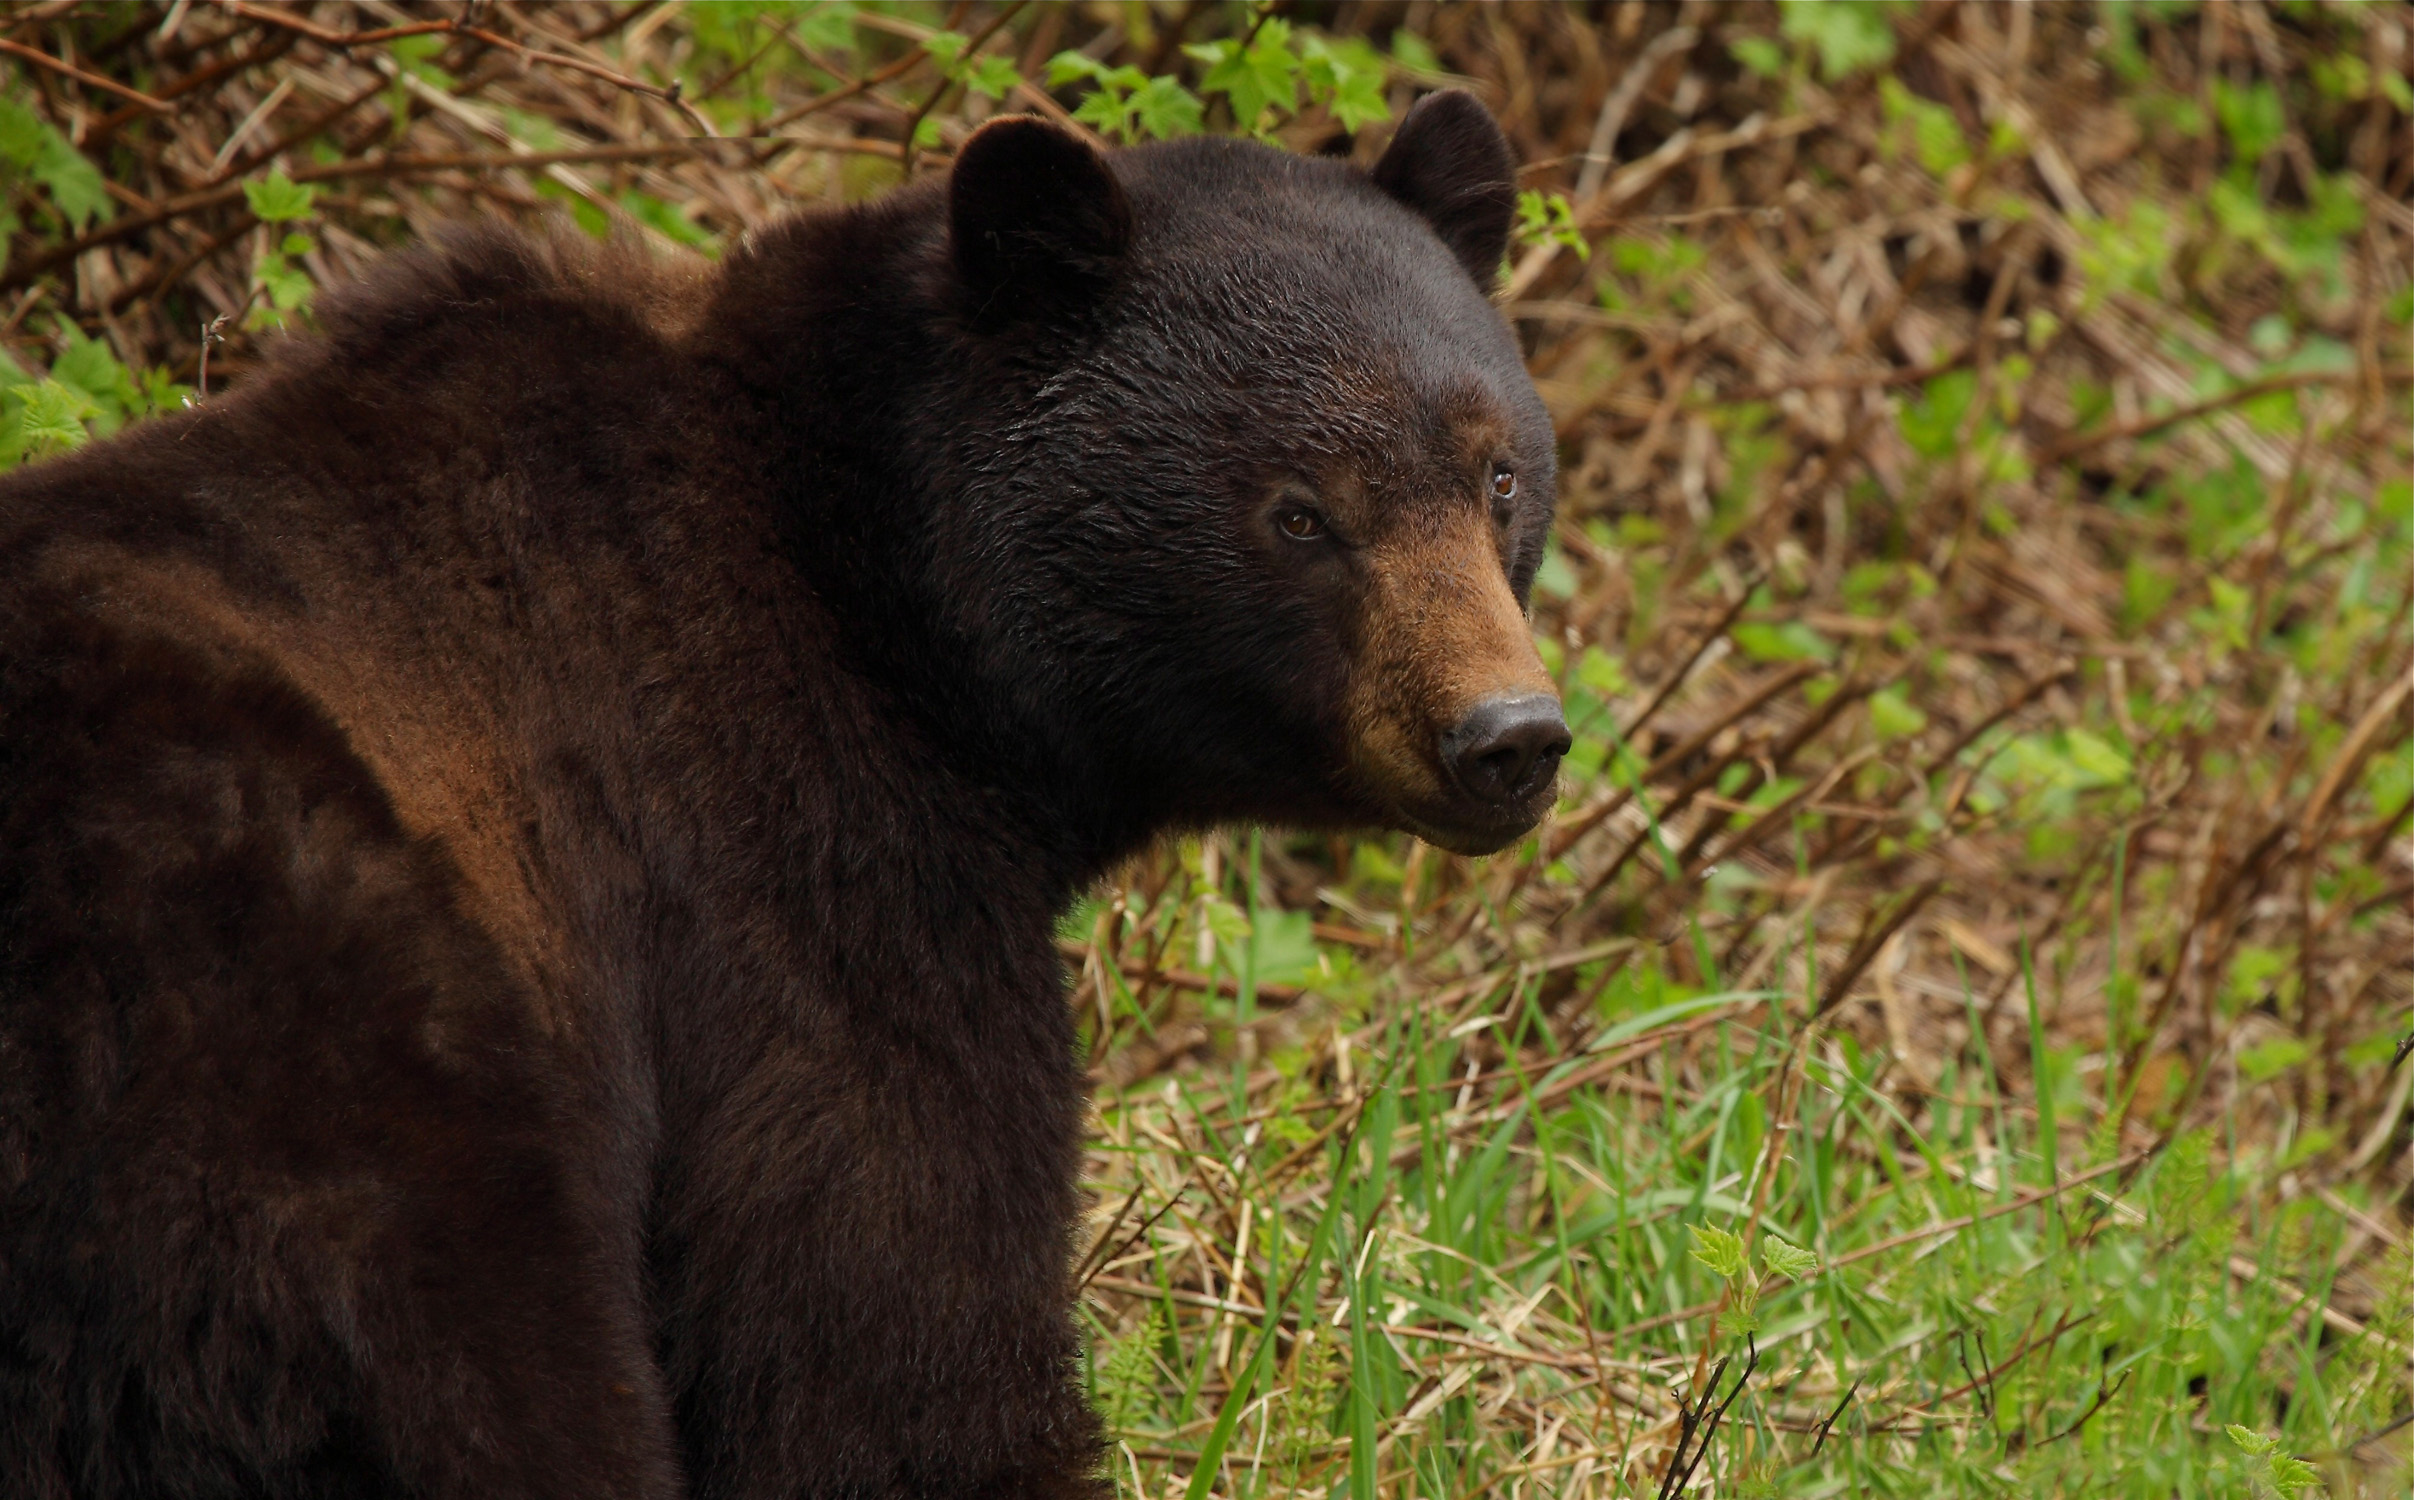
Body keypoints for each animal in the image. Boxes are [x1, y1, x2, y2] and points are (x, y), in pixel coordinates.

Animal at [0, 91, 1565, 1498]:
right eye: (1300, 510)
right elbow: (881, 1320)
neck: (887, 594)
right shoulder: (788, 856)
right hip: (309, 1034)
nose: (1506, 736)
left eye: (1494, 474)